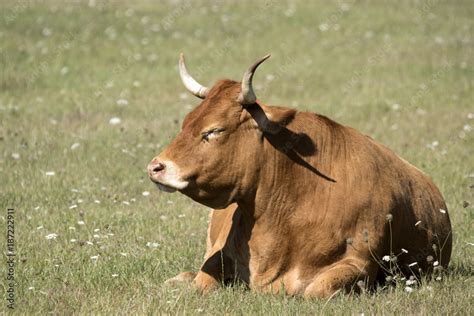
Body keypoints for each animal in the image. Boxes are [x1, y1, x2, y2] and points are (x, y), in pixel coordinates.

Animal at [148, 53, 452, 298]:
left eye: (214, 130)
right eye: (186, 121)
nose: (155, 167)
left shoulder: (359, 263)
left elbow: (316, 290)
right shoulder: (220, 253)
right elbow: (201, 281)